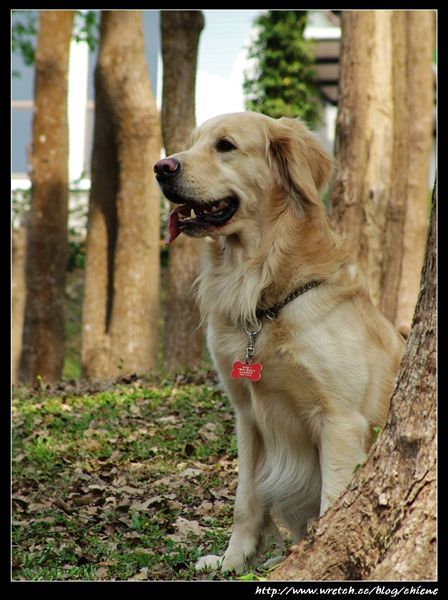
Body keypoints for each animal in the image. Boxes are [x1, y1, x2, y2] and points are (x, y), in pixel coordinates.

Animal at [154, 111, 405, 574]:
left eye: (225, 145)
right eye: (192, 142)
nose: (161, 167)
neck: (264, 293)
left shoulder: (340, 421)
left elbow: (332, 500)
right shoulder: (248, 415)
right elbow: (245, 500)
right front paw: (233, 560)